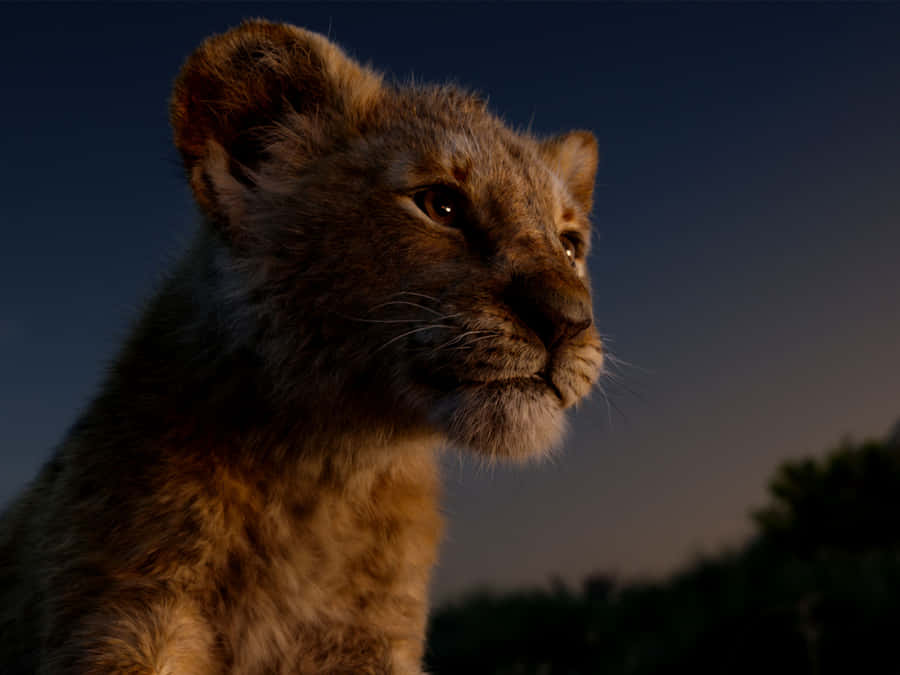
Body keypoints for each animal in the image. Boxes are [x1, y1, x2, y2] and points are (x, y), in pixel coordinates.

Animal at [0, 19, 603, 674]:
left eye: (570, 245)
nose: (570, 319)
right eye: (441, 205)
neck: (323, 476)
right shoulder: (124, 610)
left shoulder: (369, 638)